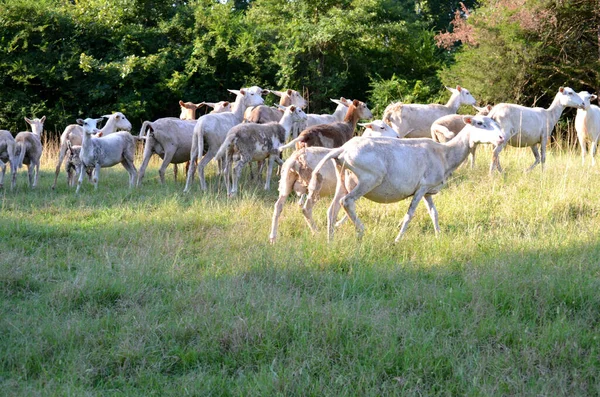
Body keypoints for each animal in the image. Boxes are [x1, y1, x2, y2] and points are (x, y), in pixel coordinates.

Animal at [310, 114, 506, 241]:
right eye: (480, 123)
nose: (502, 137)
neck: (445, 153)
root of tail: (342, 150)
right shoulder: (421, 188)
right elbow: (409, 215)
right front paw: (398, 239)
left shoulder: (428, 191)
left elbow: (434, 213)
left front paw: (438, 236)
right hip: (368, 179)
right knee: (347, 202)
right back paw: (361, 230)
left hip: (343, 180)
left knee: (332, 210)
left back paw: (330, 240)